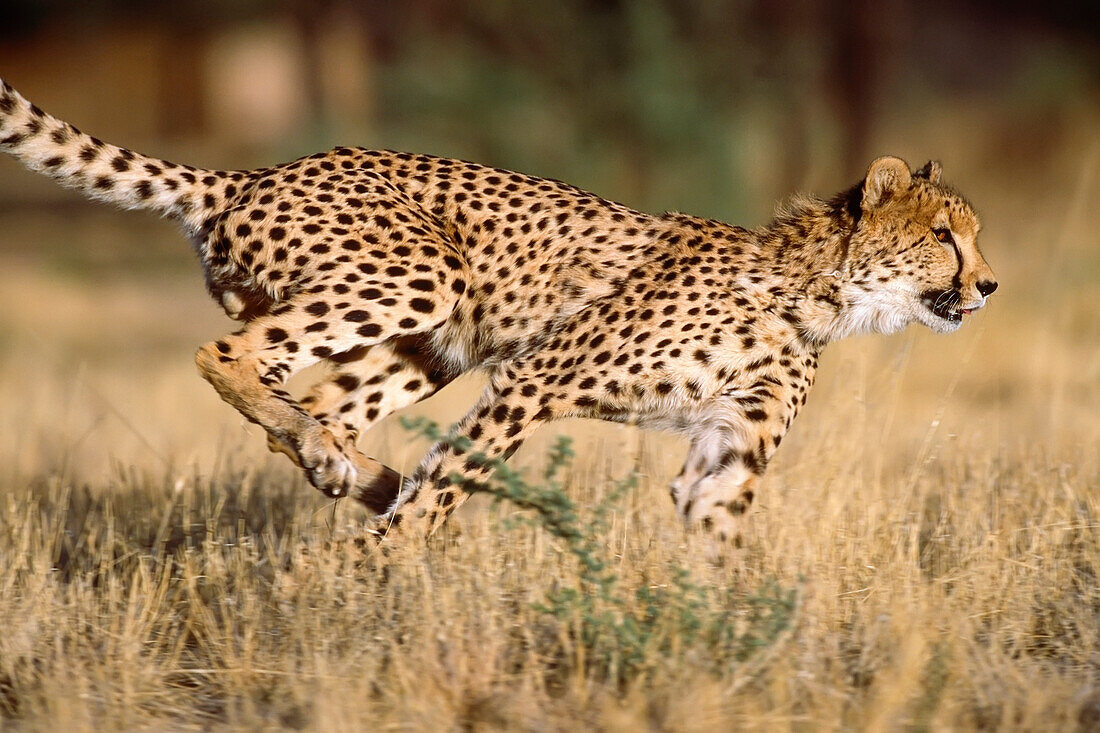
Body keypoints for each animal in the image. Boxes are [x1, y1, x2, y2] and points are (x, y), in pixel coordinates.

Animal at [0, 79, 998, 548]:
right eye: (945, 235)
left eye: (971, 236)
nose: (989, 286)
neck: (817, 291)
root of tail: (250, 173)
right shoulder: (537, 377)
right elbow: (455, 479)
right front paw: (378, 565)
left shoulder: (725, 448)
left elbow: (717, 532)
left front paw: (732, 644)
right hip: (420, 276)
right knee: (229, 355)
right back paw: (360, 490)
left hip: (429, 342)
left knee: (314, 404)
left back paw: (352, 471)